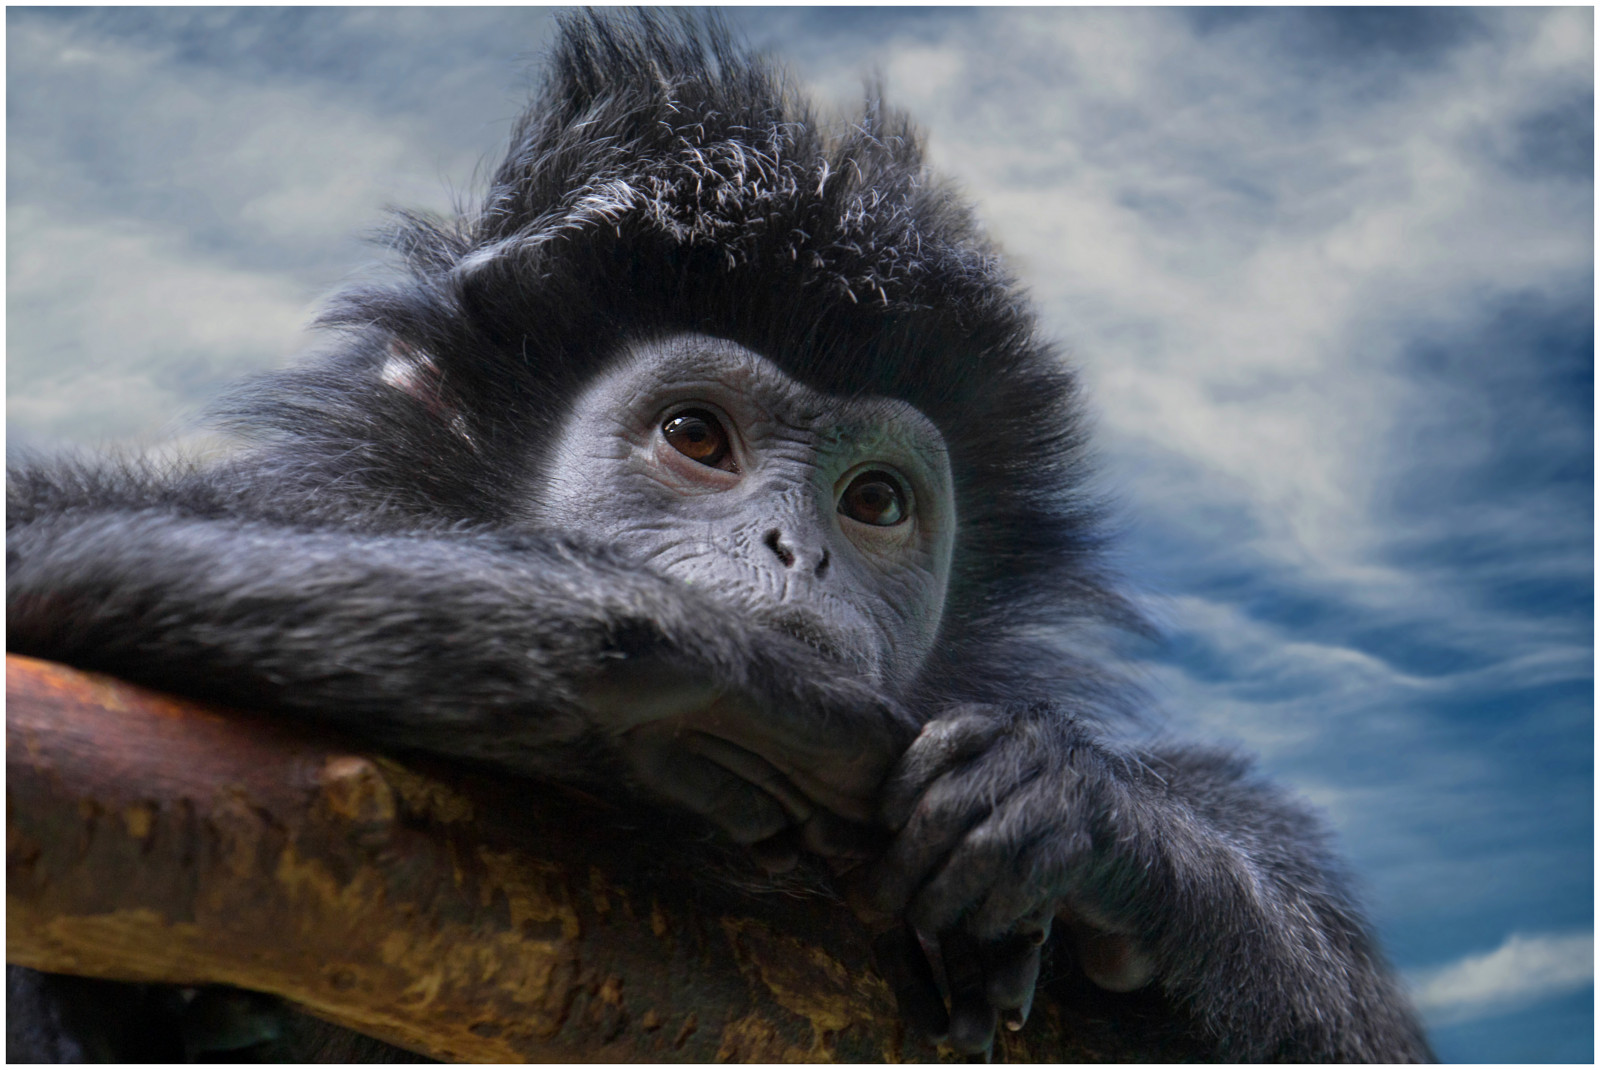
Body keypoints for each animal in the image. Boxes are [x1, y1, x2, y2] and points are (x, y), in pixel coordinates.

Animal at [6, 11, 1433, 1063]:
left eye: (874, 504)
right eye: (697, 436)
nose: (793, 550)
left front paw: (1103, 822)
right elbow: (40, 542)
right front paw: (696, 674)